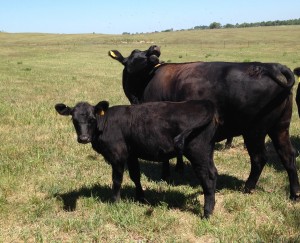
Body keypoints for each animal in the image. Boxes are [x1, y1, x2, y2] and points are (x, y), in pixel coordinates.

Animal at [54, 99, 218, 217]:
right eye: (74, 119)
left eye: (92, 119)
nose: (83, 138)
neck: (104, 125)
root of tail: (202, 103)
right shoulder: (131, 154)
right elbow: (135, 176)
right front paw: (141, 198)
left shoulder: (117, 155)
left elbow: (117, 180)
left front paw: (115, 202)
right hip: (207, 152)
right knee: (214, 173)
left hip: (198, 153)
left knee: (207, 178)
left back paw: (207, 213)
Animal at [108, 46, 300, 201]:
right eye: (135, 55)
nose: (153, 48)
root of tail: (271, 66)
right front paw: (179, 168)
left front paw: (166, 175)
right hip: (280, 126)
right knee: (288, 155)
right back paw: (294, 193)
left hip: (255, 130)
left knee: (259, 158)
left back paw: (248, 187)